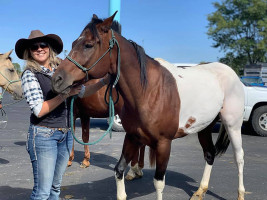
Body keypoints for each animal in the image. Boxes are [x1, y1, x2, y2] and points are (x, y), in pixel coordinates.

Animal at [51, 12, 246, 200]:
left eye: (89, 45)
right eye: (73, 43)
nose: (57, 79)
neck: (149, 90)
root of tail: (232, 74)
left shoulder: (163, 143)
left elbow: (159, 182)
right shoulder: (132, 136)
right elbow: (119, 170)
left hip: (233, 125)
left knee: (239, 157)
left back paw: (240, 194)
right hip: (205, 127)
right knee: (210, 154)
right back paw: (199, 191)